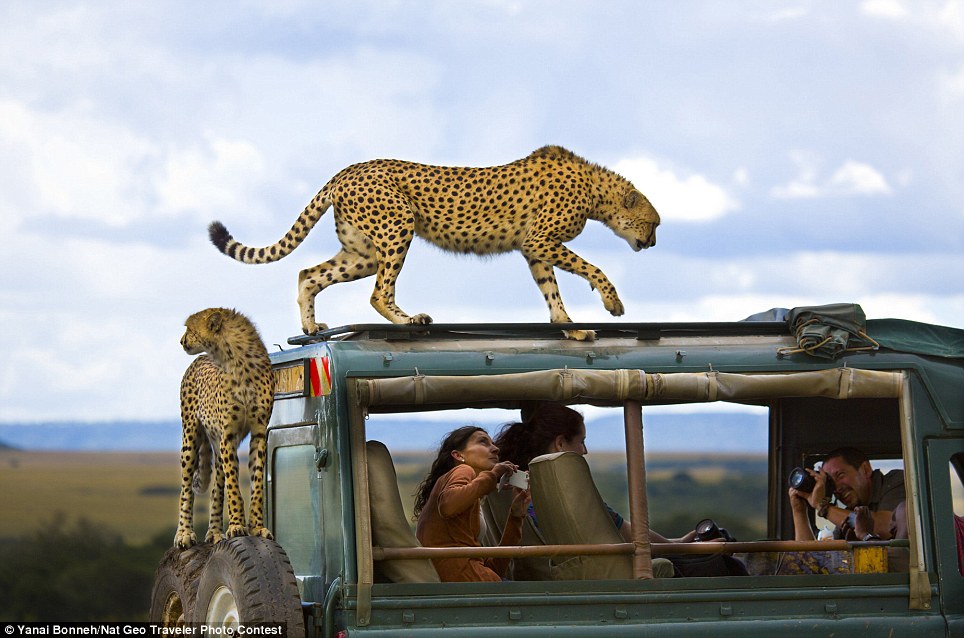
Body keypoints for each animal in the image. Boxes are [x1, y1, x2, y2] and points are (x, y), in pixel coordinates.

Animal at [175, 308, 274, 548]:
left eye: (189, 329)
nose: (181, 341)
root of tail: (199, 359)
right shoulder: (228, 435)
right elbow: (234, 487)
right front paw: (237, 525)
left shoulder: (258, 433)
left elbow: (256, 484)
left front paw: (257, 527)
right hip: (190, 438)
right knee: (186, 489)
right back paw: (184, 533)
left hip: (217, 446)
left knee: (216, 488)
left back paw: (214, 532)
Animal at [209, 147, 664, 342]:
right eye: (653, 222)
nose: (654, 242)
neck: (595, 190)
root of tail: (350, 168)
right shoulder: (541, 240)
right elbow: (592, 268)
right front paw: (612, 303)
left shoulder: (534, 249)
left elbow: (551, 291)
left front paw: (569, 327)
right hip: (397, 227)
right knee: (378, 292)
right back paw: (408, 320)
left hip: (362, 252)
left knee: (308, 273)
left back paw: (310, 326)